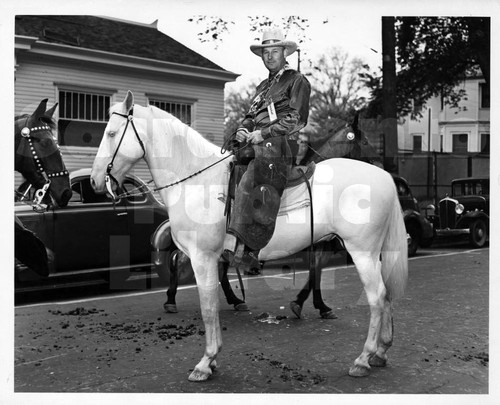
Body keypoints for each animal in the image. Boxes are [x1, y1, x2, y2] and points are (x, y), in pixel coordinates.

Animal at [162, 113, 380, 316]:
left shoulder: (319, 241)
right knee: (181, 260)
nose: (377, 163)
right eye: (365, 141)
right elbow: (315, 271)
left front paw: (311, 304)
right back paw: (173, 299)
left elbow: (315, 271)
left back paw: (234, 300)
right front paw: (310, 304)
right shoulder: (321, 242)